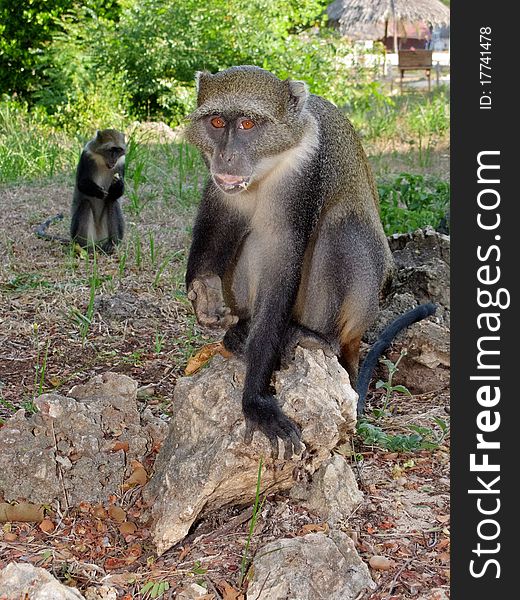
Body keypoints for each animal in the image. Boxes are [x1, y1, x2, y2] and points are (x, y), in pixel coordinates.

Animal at [185, 67, 436, 460]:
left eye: (247, 124)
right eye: (216, 122)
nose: (225, 156)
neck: (270, 163)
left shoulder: (306, 170)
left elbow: (283, 262)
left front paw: (255, 400)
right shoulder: (221, 185)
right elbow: (221, 220)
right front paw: (204, 289)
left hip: (359, 301)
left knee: (340, 227)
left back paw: (316, 337)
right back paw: (242, 329)